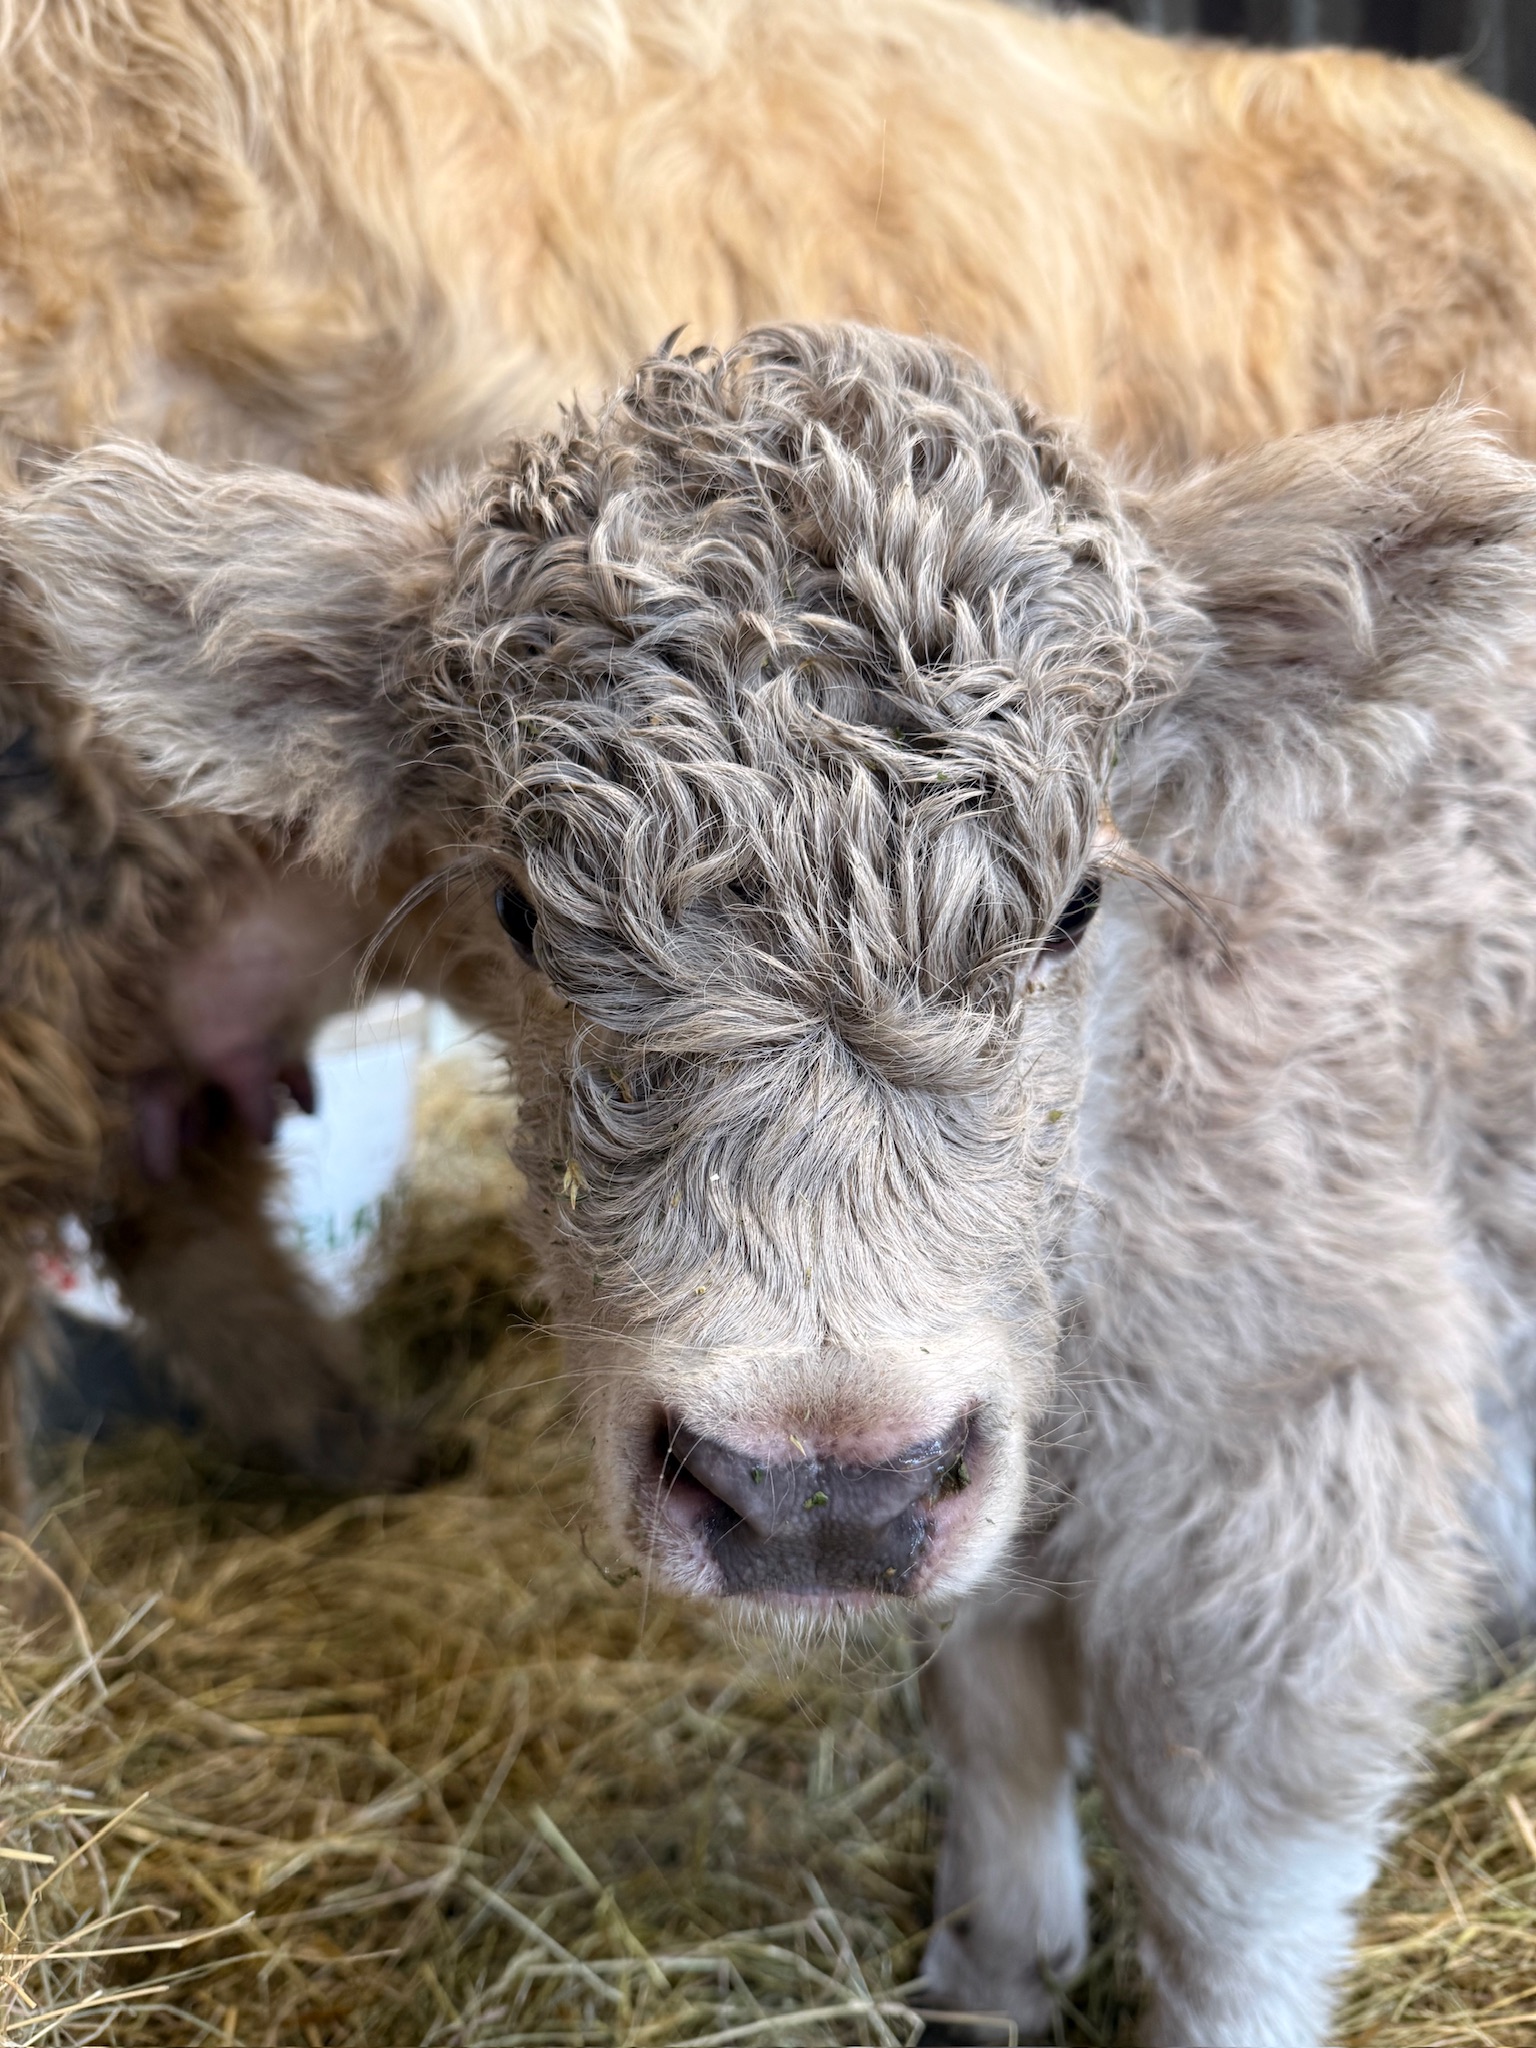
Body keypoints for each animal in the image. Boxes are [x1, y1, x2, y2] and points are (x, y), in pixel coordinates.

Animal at [13, 322, 1536, 2048]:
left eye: (1079, 902)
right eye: (520, 911)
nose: (817, 1486)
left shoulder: (1300, 1478)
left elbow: (1231, 1889)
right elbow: (992, 1715)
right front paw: (990, 1974)